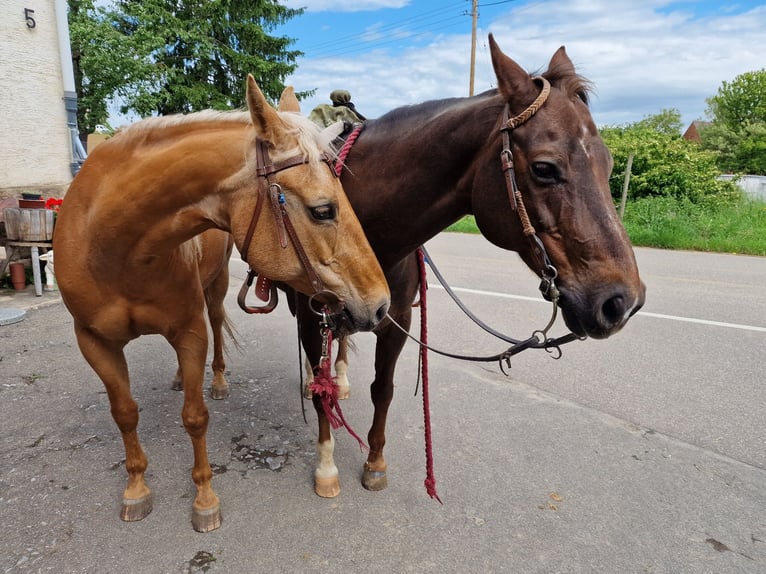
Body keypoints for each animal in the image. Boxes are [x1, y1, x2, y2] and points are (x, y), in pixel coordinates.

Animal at [52, 76, 390, 532]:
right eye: (323, 210)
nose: (381, 305)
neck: (112, 244)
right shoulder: (94, 342)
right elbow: (124, 413)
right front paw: (136, 489)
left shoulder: (190, 332)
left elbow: (194, 417)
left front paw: (204, 499)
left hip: (214, 294)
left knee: (216, 329)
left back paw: (217, 381)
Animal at [293, 35, 646, 498]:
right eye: (544, 168)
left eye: (609, 165)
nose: (622, 302)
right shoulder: (310, 316)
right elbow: (322, 393)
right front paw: (326, 468)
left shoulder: (397, 320)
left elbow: (383, 390)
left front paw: (375, 462)